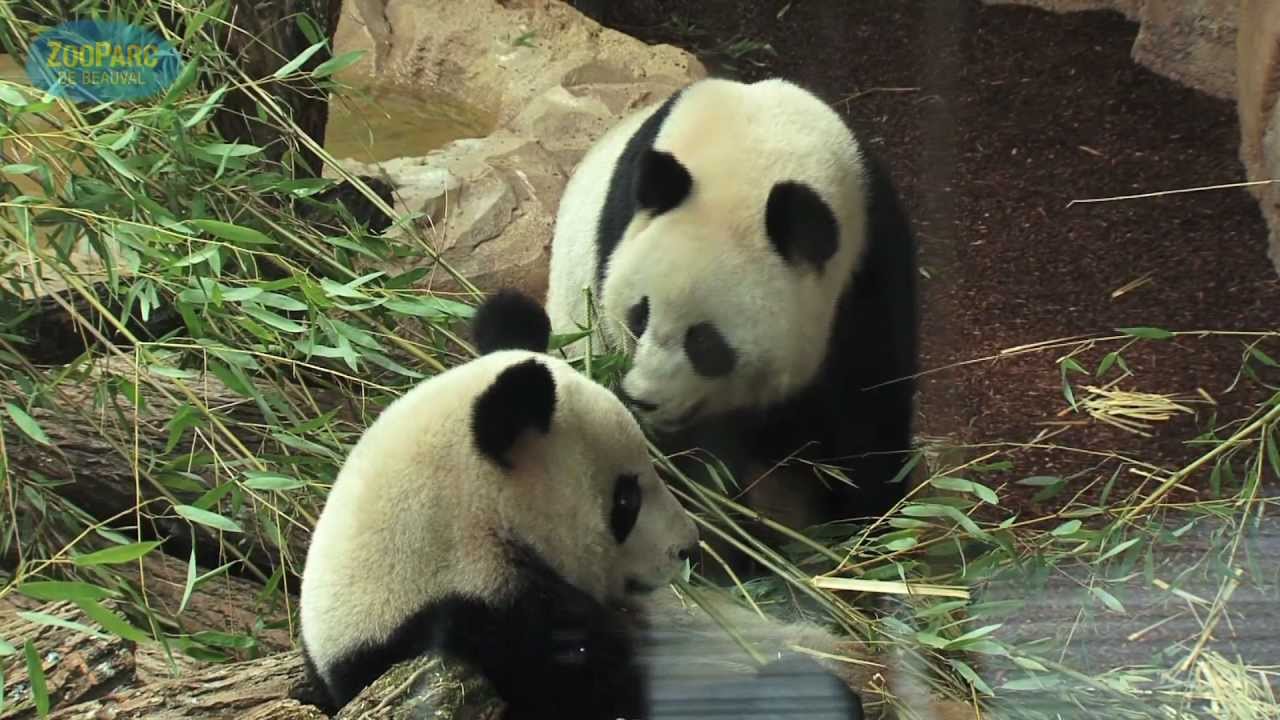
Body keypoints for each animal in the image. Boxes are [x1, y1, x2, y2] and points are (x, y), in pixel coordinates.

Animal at [544, 77, 919, 567]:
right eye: (640, 315)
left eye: (705, 342)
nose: (644, 399)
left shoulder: (866, 267)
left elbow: (870, 407)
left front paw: (866, 533)